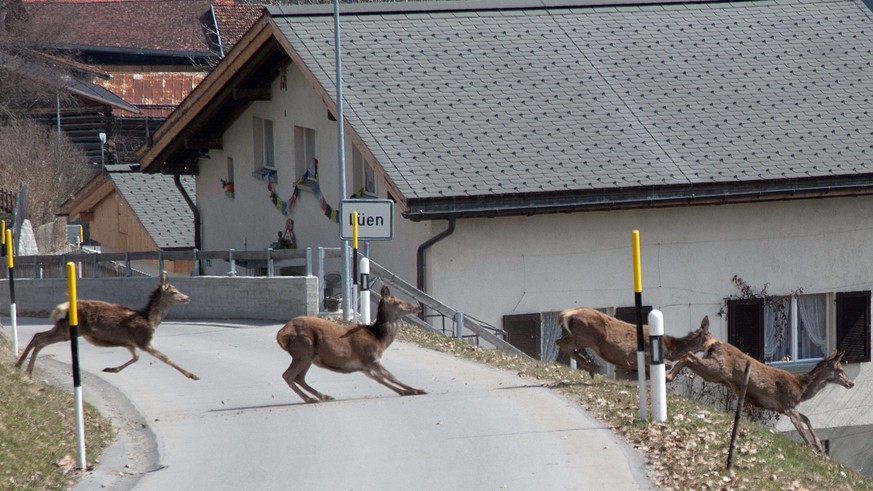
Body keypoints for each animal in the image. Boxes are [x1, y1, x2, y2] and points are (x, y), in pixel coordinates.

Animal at [14, 272, 199, 380]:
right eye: (174, 292)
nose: (188, 298)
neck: (151, 320)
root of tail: (63, 307)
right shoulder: (144, 341)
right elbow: (166, 358)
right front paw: (192, 375)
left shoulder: (129, 343)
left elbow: (136, 358)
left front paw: (110, 369)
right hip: (68, 330)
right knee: (41, 341)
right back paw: (26, 370)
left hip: (61, 327)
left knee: (38, 335)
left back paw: (20, 365)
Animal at [276, 284, 426, 404]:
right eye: (399, 302)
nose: (418, 307)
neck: (380, 340)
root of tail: (281, 333)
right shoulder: (371, 357)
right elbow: (390, 376)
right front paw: (417, 390)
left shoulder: (365, 367)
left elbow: (381, 379)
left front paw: (405, 392)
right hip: (303, 349)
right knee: (288, 375)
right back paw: (310, 399)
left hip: (309, 356)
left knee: (299, 378)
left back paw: (324, 396)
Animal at [556, 308, 712, 380]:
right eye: (710, 335)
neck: (669, 348)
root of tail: (566, 314)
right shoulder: (648, 355)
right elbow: (667, 365)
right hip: (589, 335)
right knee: (562, 343)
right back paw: (589, 367)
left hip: (583, 335)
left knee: (560, 342)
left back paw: (588, 367)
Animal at [668, 340, 852, 452]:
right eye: (840, 369)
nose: (851, 383)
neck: (802, 389)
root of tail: (714, 345)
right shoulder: (789, 406)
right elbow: (802, 430)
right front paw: (813, 448)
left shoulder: (784, 408)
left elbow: (807, 419)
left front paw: (819, 445)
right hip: (716, 369)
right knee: (688, 355)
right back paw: (668, 375)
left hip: (715, 372)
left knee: (689, 357)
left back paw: (668, 374)